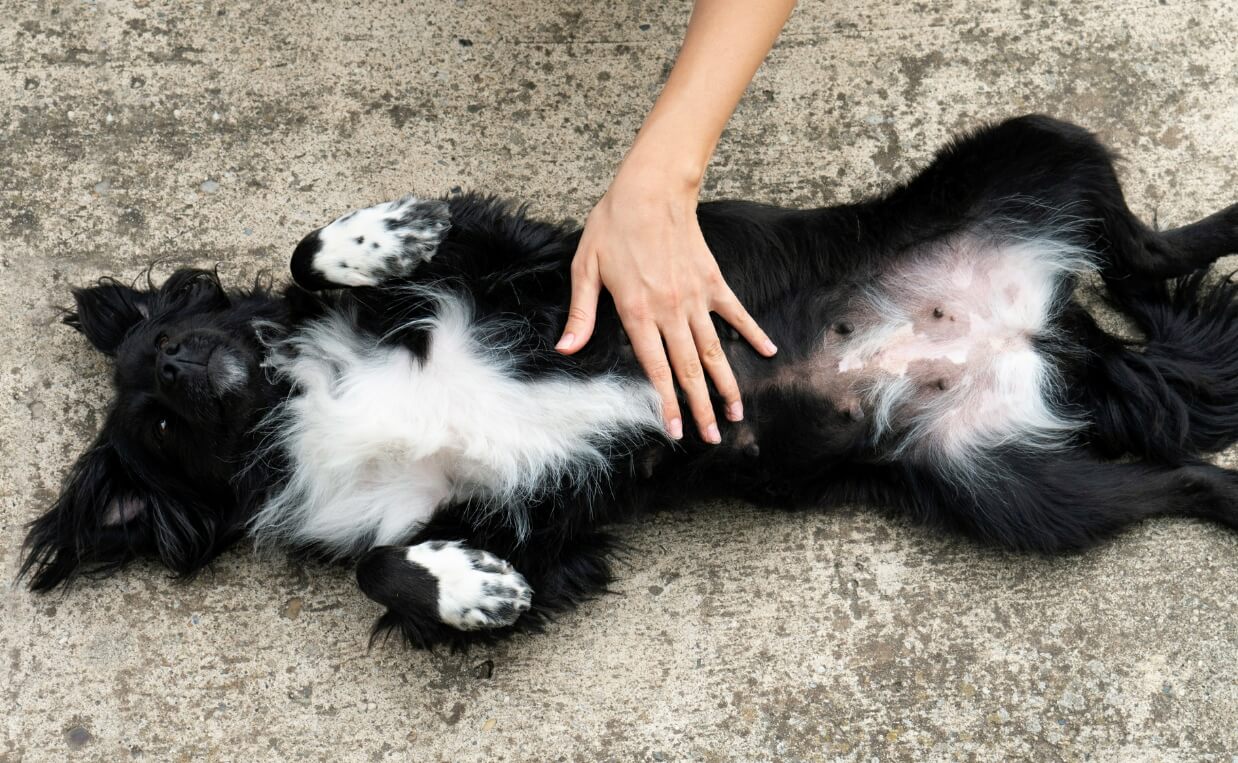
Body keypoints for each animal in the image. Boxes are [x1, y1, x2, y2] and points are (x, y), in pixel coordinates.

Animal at [19, 114, 1238, 649]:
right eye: (155, 420)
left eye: (170, 336)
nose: (175, 358)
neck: (298, 402)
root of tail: (1037, 336)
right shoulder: (540, 529)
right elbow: (380, 566)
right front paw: (471, 592)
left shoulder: (534, 269)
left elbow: (315, 249)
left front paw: (383, 233)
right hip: (1015, 492)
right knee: (1177, 479)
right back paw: (1230, 498)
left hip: (1035, 147)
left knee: (1150, 247)